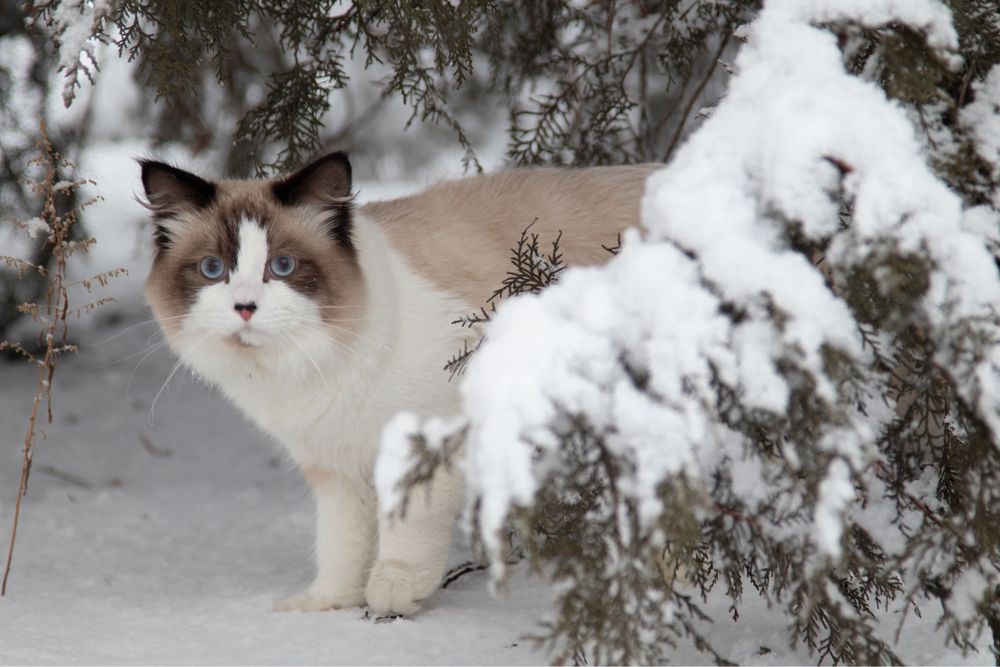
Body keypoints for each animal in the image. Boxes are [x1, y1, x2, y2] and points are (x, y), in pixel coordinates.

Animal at [141, 151, 656, 616]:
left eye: (282, 266)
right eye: (213, 270)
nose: (245, 307)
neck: (305, 371)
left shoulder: (426, 439)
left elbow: (405, 529)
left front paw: (392, 593)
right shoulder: (337, 467)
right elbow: (340, 546)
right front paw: (328, 603)